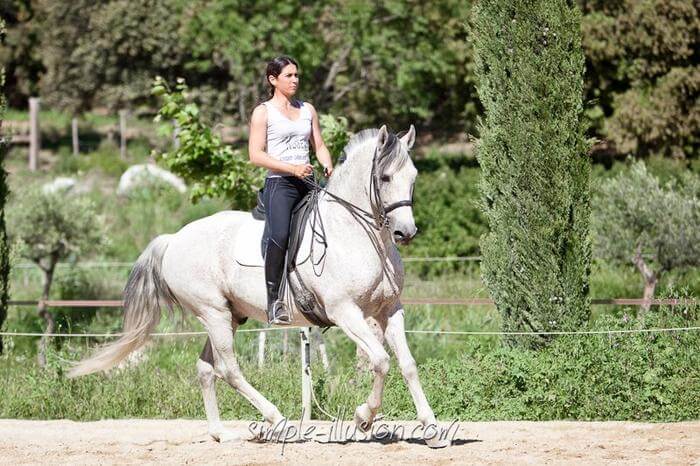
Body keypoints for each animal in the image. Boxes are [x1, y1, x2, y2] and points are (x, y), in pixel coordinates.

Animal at [69, 124, 448, 448]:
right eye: (385, 177)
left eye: (413, 177)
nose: (405, 233)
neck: (357, 233)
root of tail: (173, 238)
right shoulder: (345, 312)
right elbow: (381, 361)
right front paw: (363, 418)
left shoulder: (389, 311)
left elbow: (408, 364)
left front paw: (432, 429)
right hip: (213, 313)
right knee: (228, 369)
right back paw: (279, 421)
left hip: (229, 316)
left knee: (206, 368)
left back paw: (222, 434)